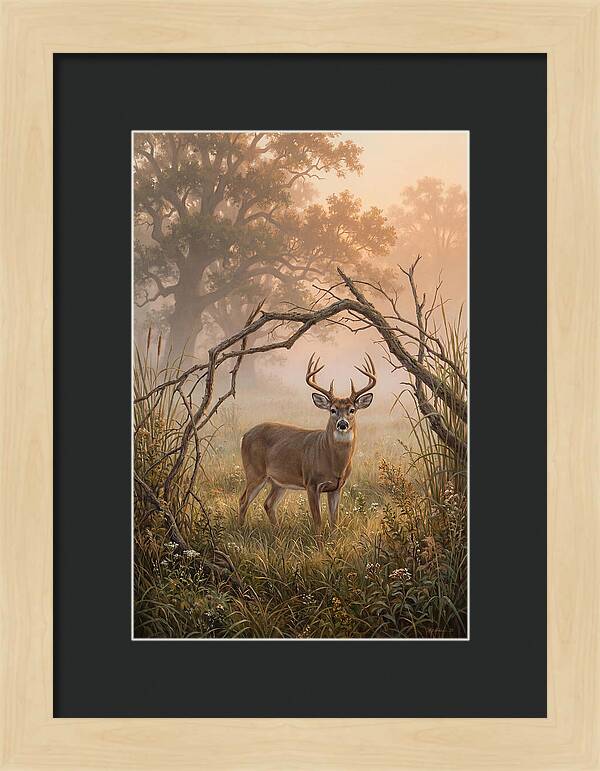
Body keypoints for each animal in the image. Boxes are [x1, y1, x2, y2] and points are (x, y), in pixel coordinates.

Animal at [238, 353, 376, 535]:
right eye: (332, 410)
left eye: (352, 410)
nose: (342, 424)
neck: (334, 462)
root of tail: (245, 436)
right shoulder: (311, 483)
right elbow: (318, 521)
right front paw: (319, 541)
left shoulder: (337, 487)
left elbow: (334, 520)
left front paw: (333, 539)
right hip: (255, 472)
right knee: (243, 501)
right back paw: (240, 531)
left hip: (278, 481)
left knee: (268, 504)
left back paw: (278, 532)